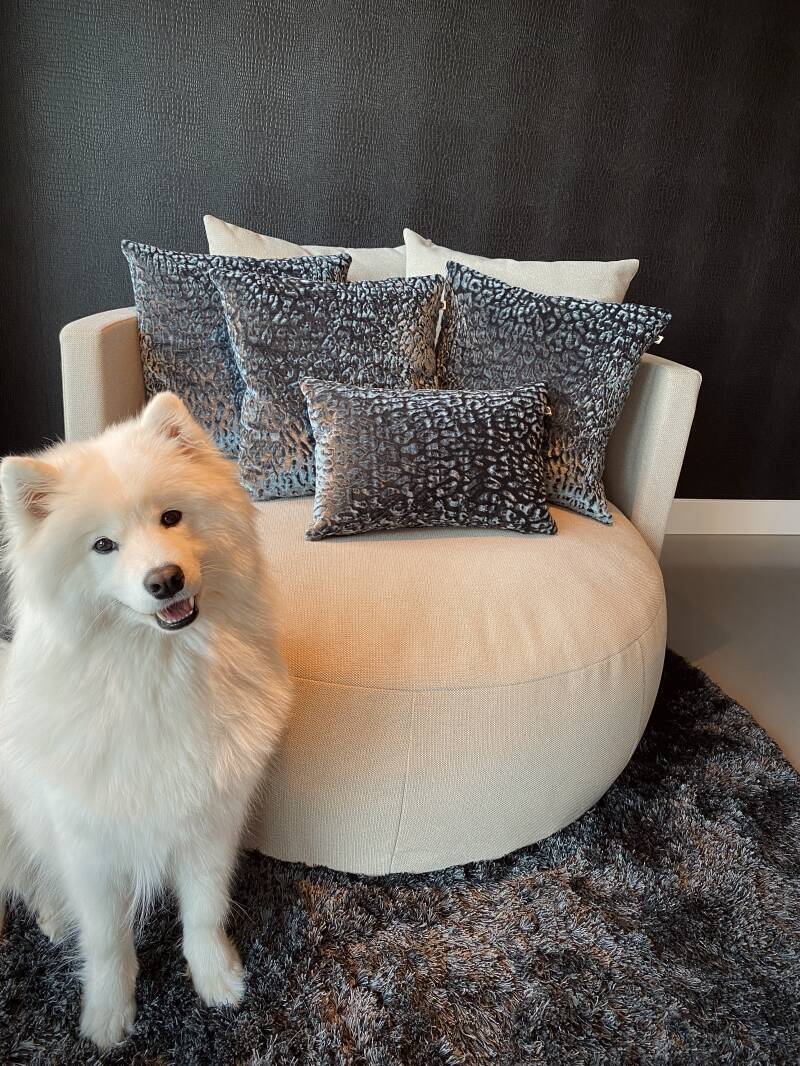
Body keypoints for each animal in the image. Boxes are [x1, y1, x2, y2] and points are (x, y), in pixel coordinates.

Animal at [0, 392, 291, 1047]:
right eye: (103, 546)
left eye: (171, 517)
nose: (165, 580)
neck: (157, 673)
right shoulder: (89, 846)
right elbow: (108, 942)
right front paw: (108, 1017)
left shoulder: (210, 821)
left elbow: (204, 913)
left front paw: (217, 979)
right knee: (29, 876)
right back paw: (52, 916)